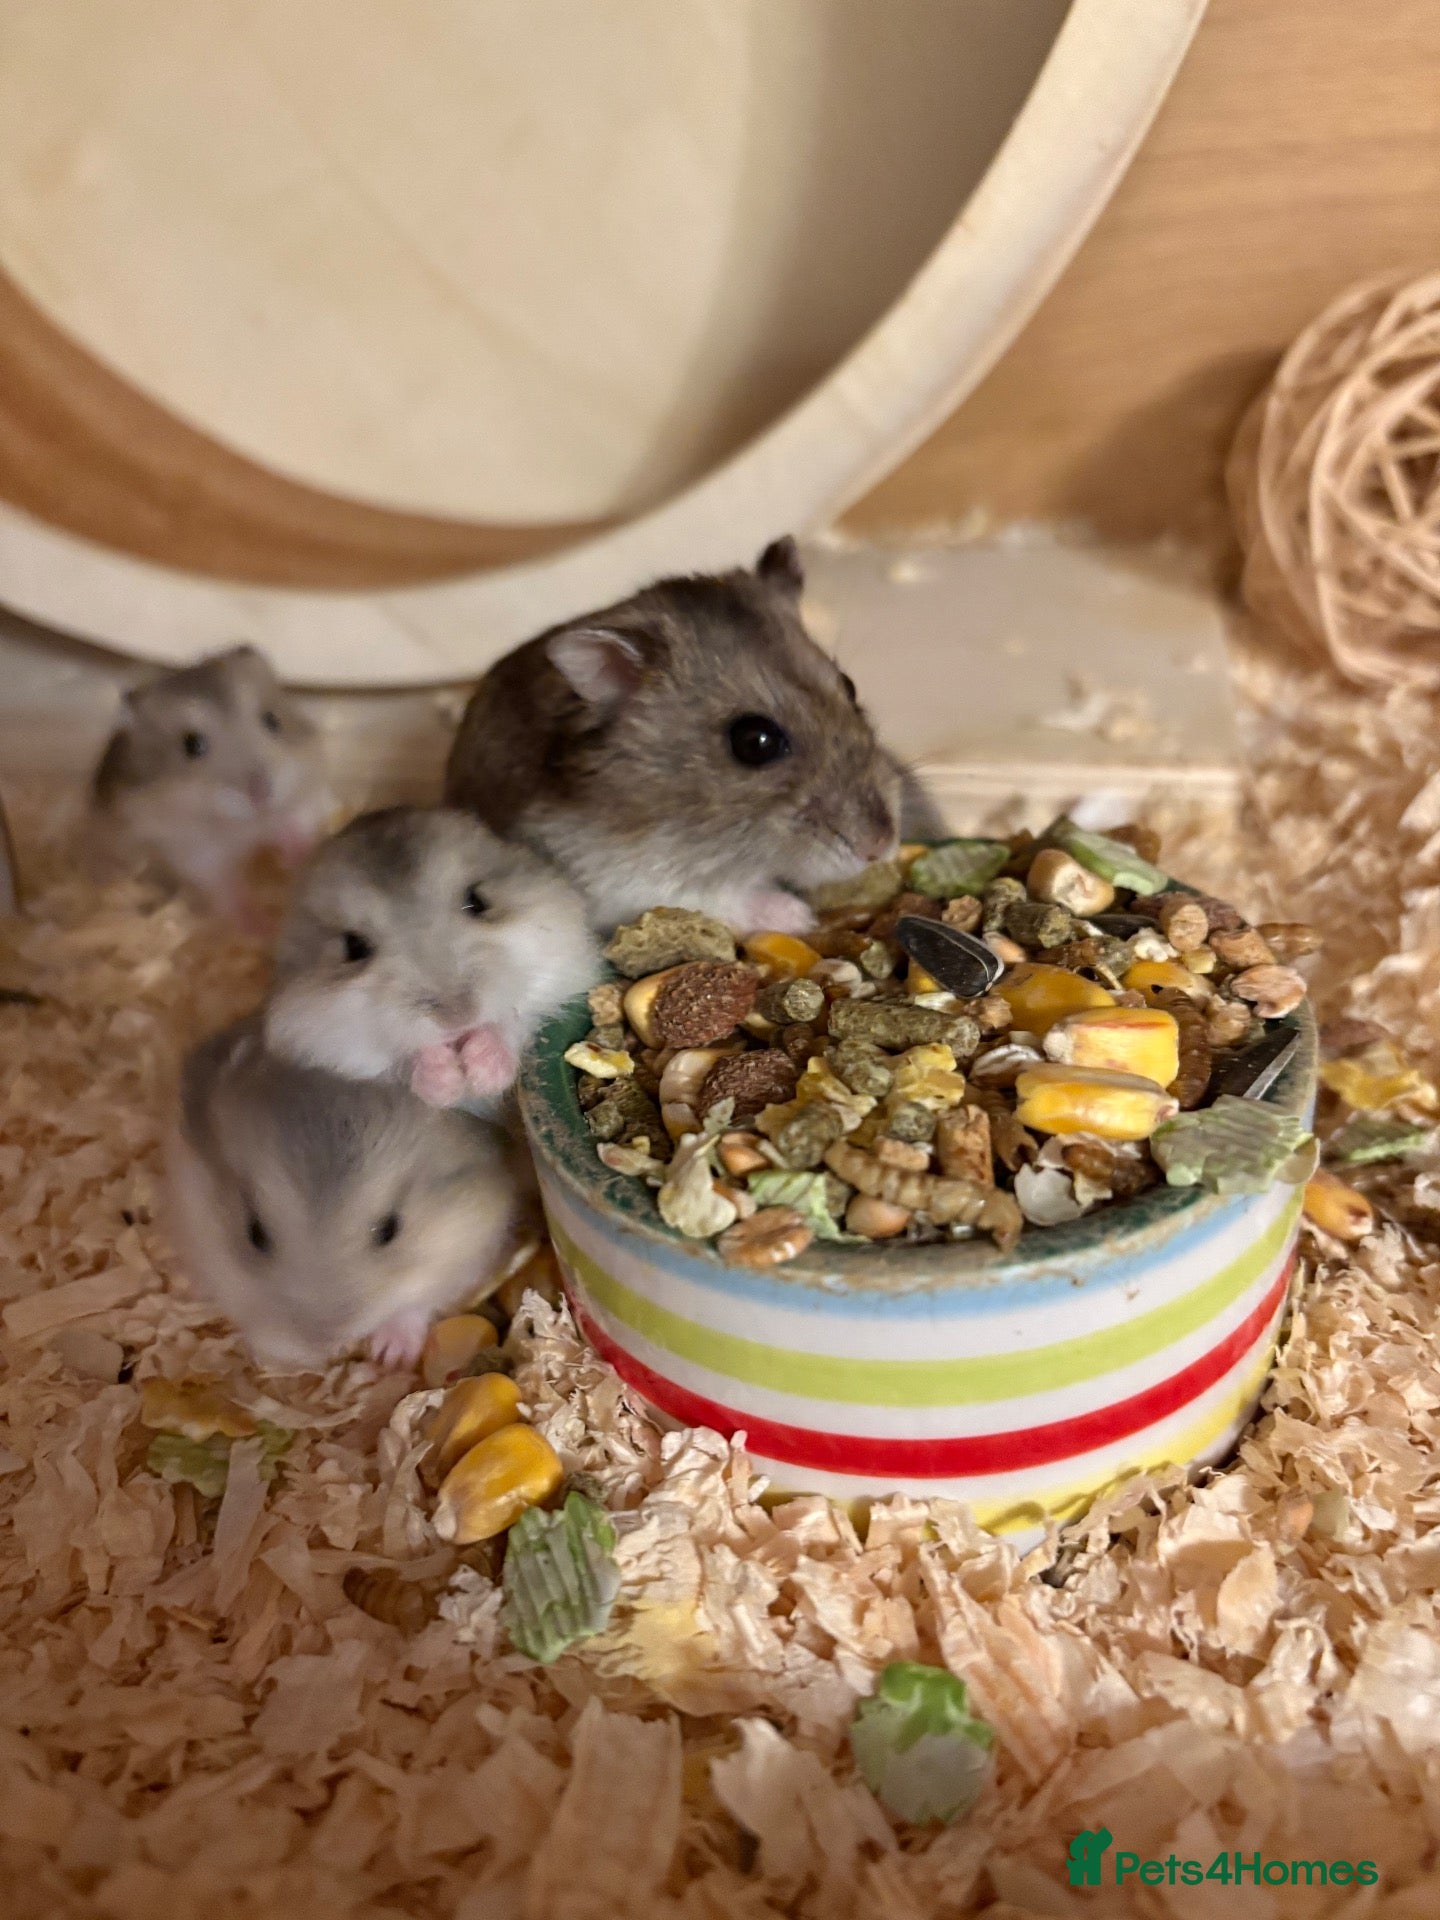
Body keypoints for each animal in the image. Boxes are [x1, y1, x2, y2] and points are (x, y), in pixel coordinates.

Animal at [91, 644, 332, 927]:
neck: (246, 826)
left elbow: (297, 825)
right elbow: (228, 889)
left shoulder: (302, 791)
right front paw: (262, 923)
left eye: (272, 720)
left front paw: (300, 858)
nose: (261, 794)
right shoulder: (198, 856)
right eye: (192, 745)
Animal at [168, 1018, 519, 1369]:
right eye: (254, 1234)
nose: (323, 1341)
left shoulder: (468, 1247)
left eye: (390, 1230)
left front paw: (391, 1356)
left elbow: (417, 1303)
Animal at [264, 806, 597, 1111]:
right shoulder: (326, 1045)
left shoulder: (562, 973)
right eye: (353, 947)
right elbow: (398, 1062)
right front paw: (447, 1080)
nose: (458, 1018)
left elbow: (513, 1020)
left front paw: (481, 1072)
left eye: (477, 901)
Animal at [443, 537, 904, 934]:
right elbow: (718, 896)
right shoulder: (619, 878)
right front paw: (800, 918)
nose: (880, 847)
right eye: (755, 742)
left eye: (850, 686)